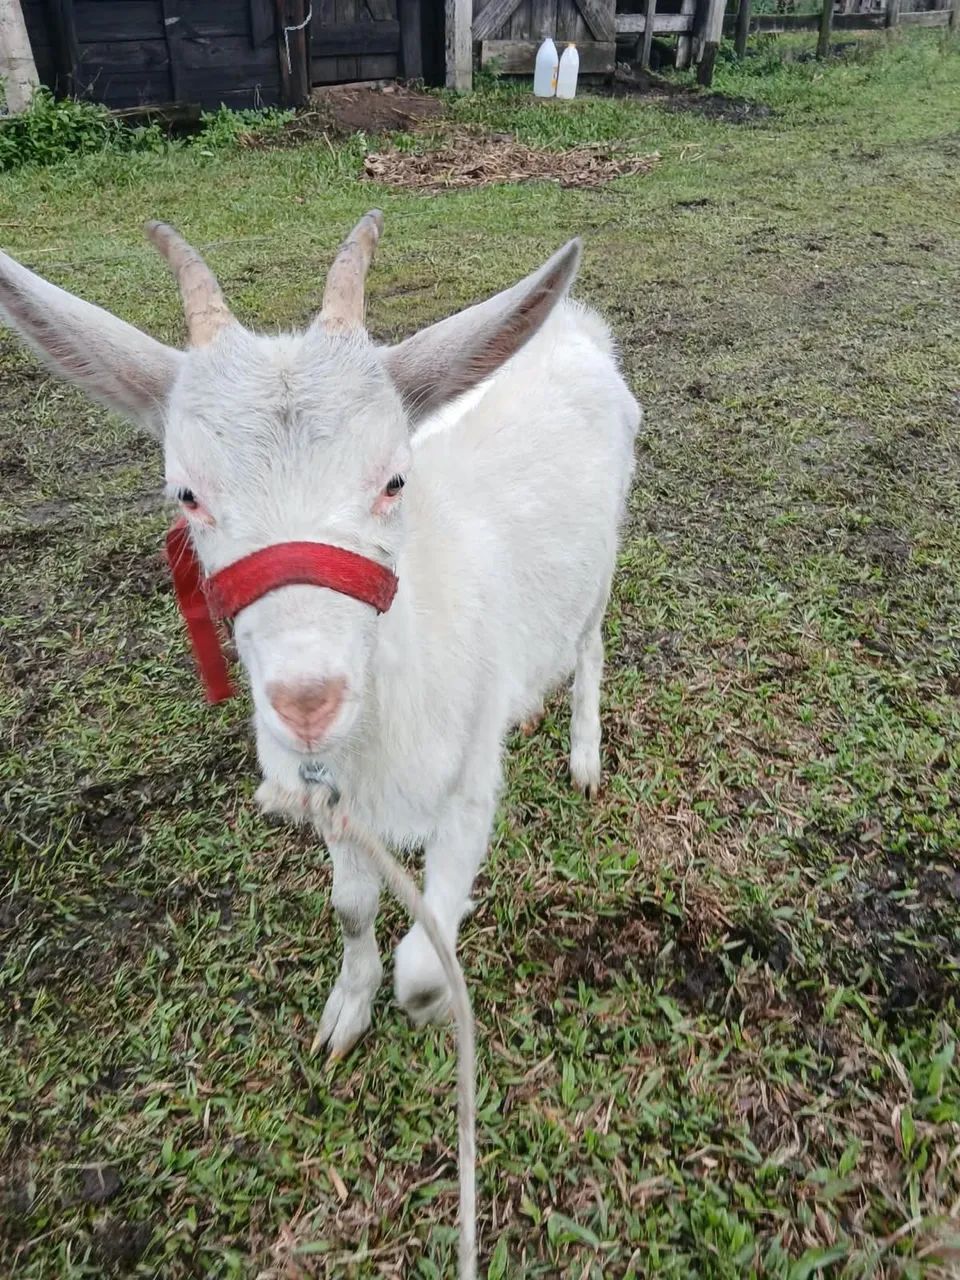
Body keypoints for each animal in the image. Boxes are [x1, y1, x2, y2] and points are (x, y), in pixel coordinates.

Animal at [0, 213, 641, 1058]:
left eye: (395, 480)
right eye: (187, 495)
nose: (309, 701)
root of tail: (574, 323)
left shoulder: (468, 792)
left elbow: (425, 959)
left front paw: (434, 1007)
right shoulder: (334, 801)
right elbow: (351, 908)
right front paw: (348, 1010)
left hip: (601, 558)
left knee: (589, 643)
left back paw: (584, 756)